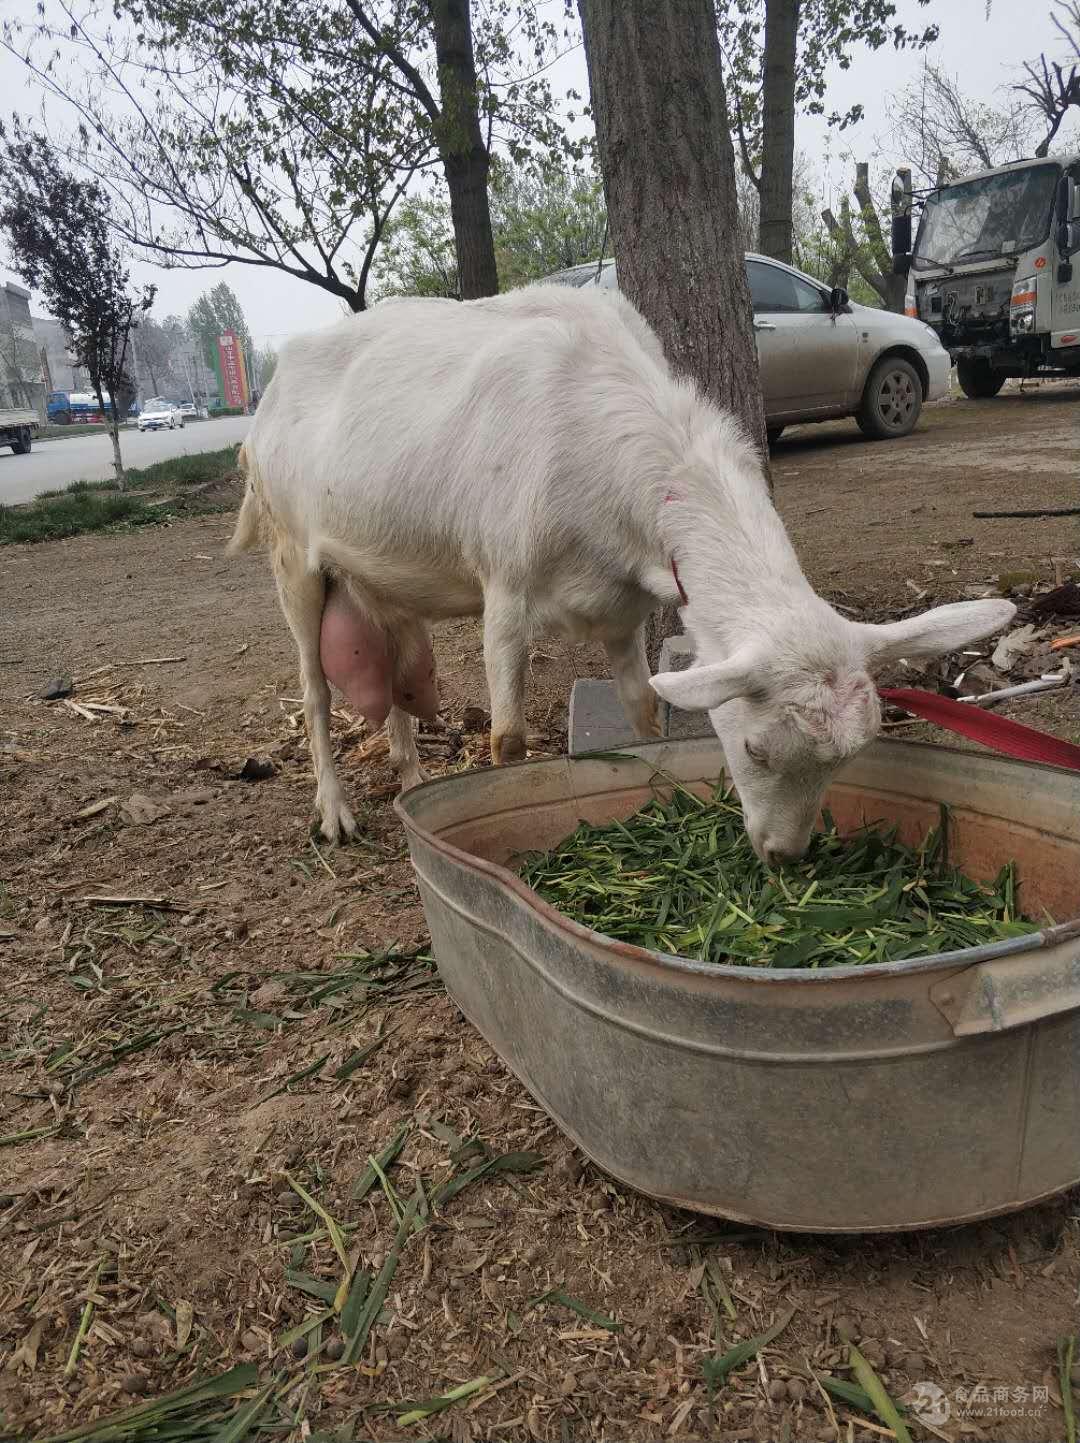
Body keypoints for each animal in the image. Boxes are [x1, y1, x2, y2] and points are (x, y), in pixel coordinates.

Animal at [228, 287, 1010, 860]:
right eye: (753, 747)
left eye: (846, 762)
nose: (783, 856)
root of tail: (269, 393)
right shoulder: (505, 592)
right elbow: (507, 740)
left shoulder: (621, 608)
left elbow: (641, 717)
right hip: (290, 555)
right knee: (314, 691)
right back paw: (334, 812)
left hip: (382, 575)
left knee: (391, 673)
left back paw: (410, 776)